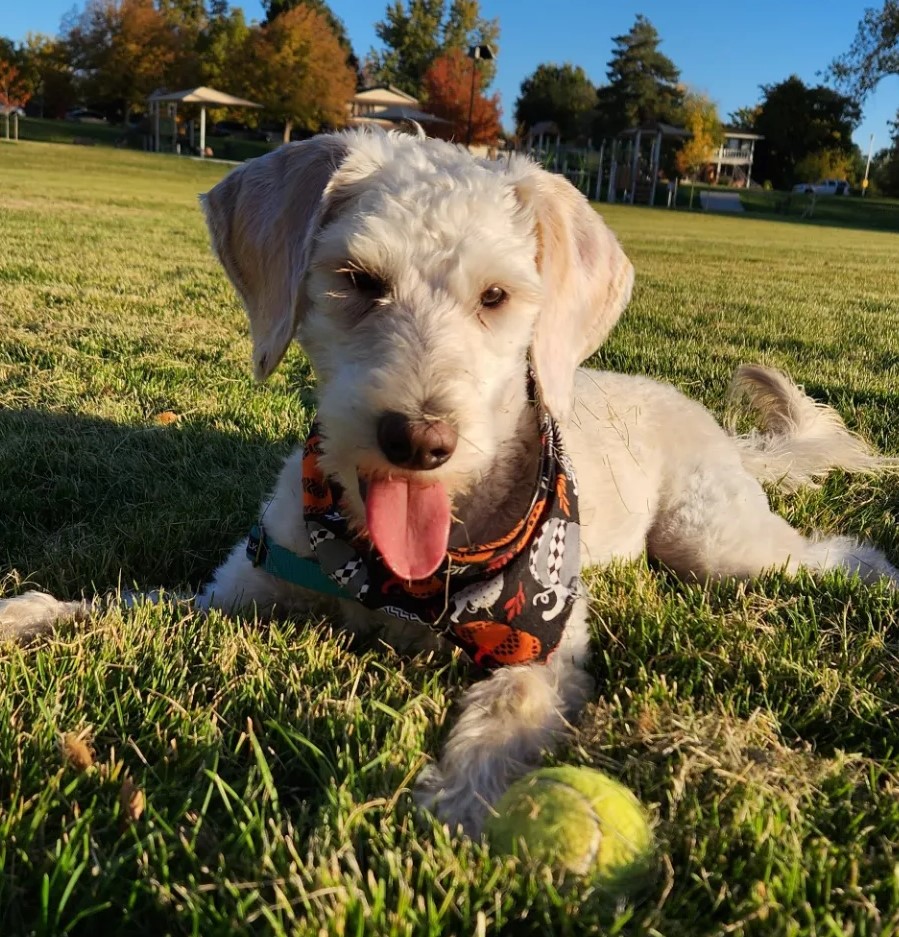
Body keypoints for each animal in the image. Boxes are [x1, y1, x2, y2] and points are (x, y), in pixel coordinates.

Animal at [3, 130, 896, 832]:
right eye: (358, 280)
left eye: (495, 296)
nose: (419, 440)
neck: (401, 577)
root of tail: (718, 431)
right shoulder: (230, 595)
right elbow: (114, 603)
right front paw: (26, 613)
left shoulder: (543, 645)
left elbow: (504, 712)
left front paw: (458, 811)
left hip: (712, 542)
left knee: (828, 552)